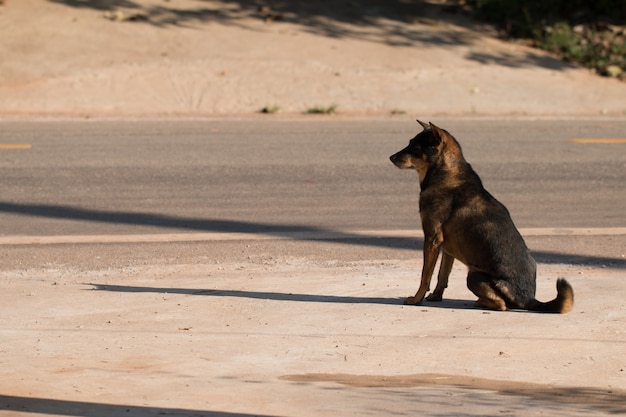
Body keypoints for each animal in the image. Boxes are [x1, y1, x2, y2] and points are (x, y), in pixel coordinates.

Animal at [388, 120, 572, 312]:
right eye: (409, 143)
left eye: (416, 147)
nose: (391, 157)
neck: (446, 172)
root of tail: (528, 298)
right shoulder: (447, 248)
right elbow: (442, 275)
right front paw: (436, 297)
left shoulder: (432, 239)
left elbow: (425, 276)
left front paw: (416, 299)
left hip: (473, 275)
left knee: (502, 305)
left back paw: (481, 302)